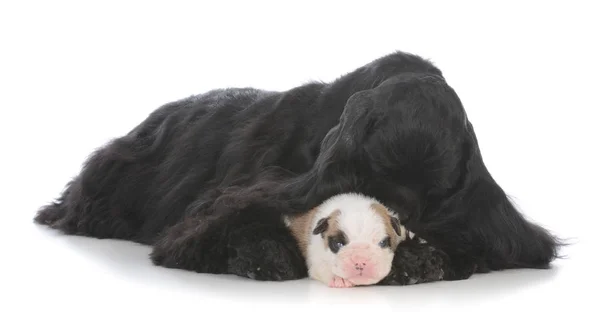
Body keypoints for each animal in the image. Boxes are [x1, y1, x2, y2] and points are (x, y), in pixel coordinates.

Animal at [35, 51, 560, 286]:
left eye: (431, 197)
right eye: (367, 178)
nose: (400, 227)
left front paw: (425, 258)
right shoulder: (239, 195)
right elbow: (224, 225)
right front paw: (267, 254)